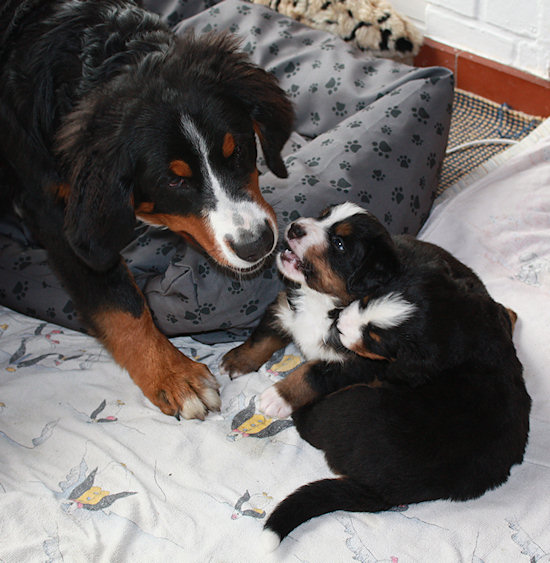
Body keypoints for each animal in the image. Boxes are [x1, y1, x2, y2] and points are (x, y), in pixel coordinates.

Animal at [0, 0, 293, 418]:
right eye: (174, 182)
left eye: (236, 150)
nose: (255, 244)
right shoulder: (55, 214)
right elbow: (119, 302)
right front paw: (173, 375)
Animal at [221, 202, 531, 549]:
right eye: (323, 215)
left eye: (340, 244)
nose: (295, 228)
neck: (323, 303)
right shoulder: (285, 307)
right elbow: (263, 336)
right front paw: (236, 361)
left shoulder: (358, 363)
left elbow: (309, 373)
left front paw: (276, 397)